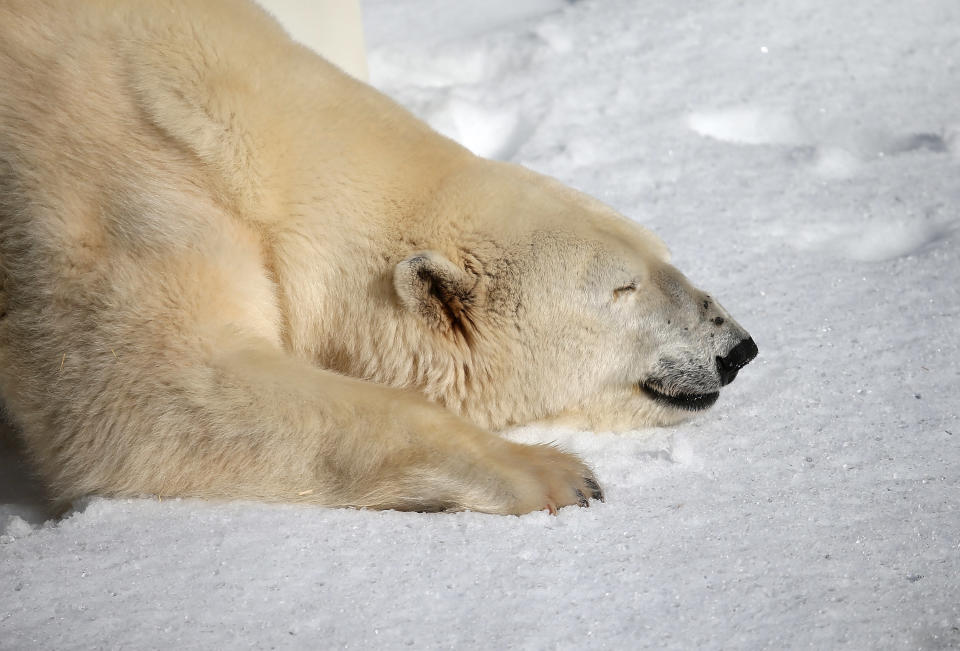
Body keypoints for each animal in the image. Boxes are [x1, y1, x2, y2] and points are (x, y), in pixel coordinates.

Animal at [0, 2, 752, 516]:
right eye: (622, 289)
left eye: (664, 257)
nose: (736, 348)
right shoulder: (115, 196)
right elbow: (154, 397)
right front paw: (558, 473)